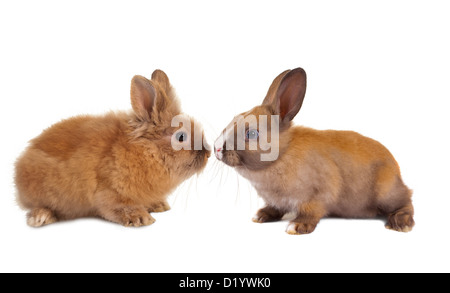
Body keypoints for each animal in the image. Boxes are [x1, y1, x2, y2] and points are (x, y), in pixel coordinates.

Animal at [14, 69, 210, 227]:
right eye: (181, 137)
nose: (207, 152)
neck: (147, 152)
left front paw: (159, 205)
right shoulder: (110, 193)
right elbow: (115, 207)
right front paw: (140, 218)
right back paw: (41, 217)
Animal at [214, 67, 414, 234]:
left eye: (252, 133)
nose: (216, 148)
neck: (282, 155)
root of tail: (397, 173)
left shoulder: (319, 194)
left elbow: (311, 211)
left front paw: (297, 226)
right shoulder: (277, 201)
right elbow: (275, 208)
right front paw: (261, 215)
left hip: (385, 191)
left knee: (407, 200)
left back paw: (401, 223)